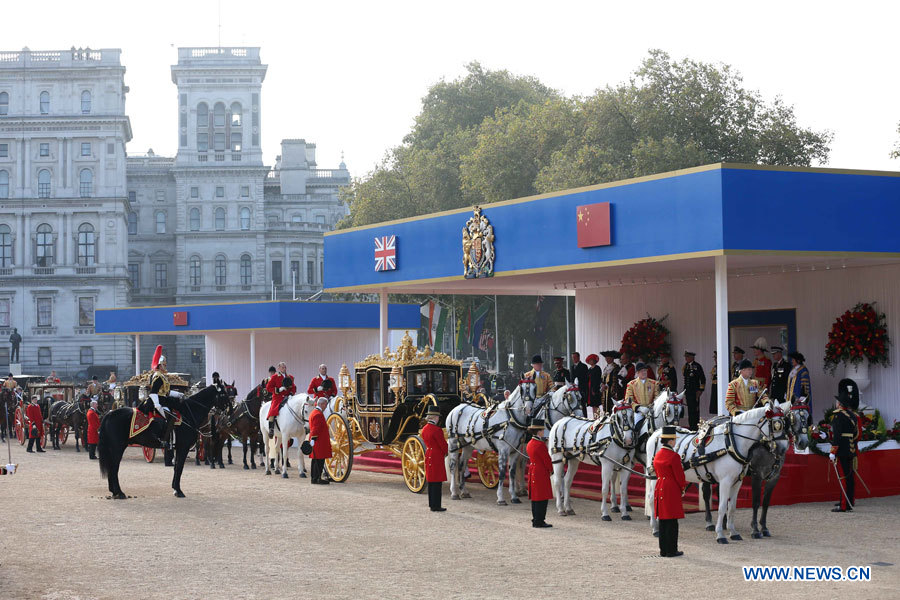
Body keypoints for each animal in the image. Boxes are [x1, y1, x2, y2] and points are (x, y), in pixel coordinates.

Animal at [97, 384, 225, 496]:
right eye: (224, 393)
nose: (226, 412)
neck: (188, 413)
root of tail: (109, 414)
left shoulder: (179, 447)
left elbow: (176, 467)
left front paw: (175, 488)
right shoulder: (183, 447)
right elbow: (179, 467)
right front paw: (178, 491)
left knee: (112, 467)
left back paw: (114, 492)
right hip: (117, 447)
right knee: (114, 467)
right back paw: (119, 492)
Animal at [648, 404, 788, 544]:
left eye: (785, 423)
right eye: (776, 425)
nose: (783, 449)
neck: (732, 442)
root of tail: (656, 433)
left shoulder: (738, 481)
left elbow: (732, 507)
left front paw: (733, 532)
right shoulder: (727, 481)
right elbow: (722, 507)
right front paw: (720, 534)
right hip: (655, 476)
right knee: (652, 498)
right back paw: (655, 528)